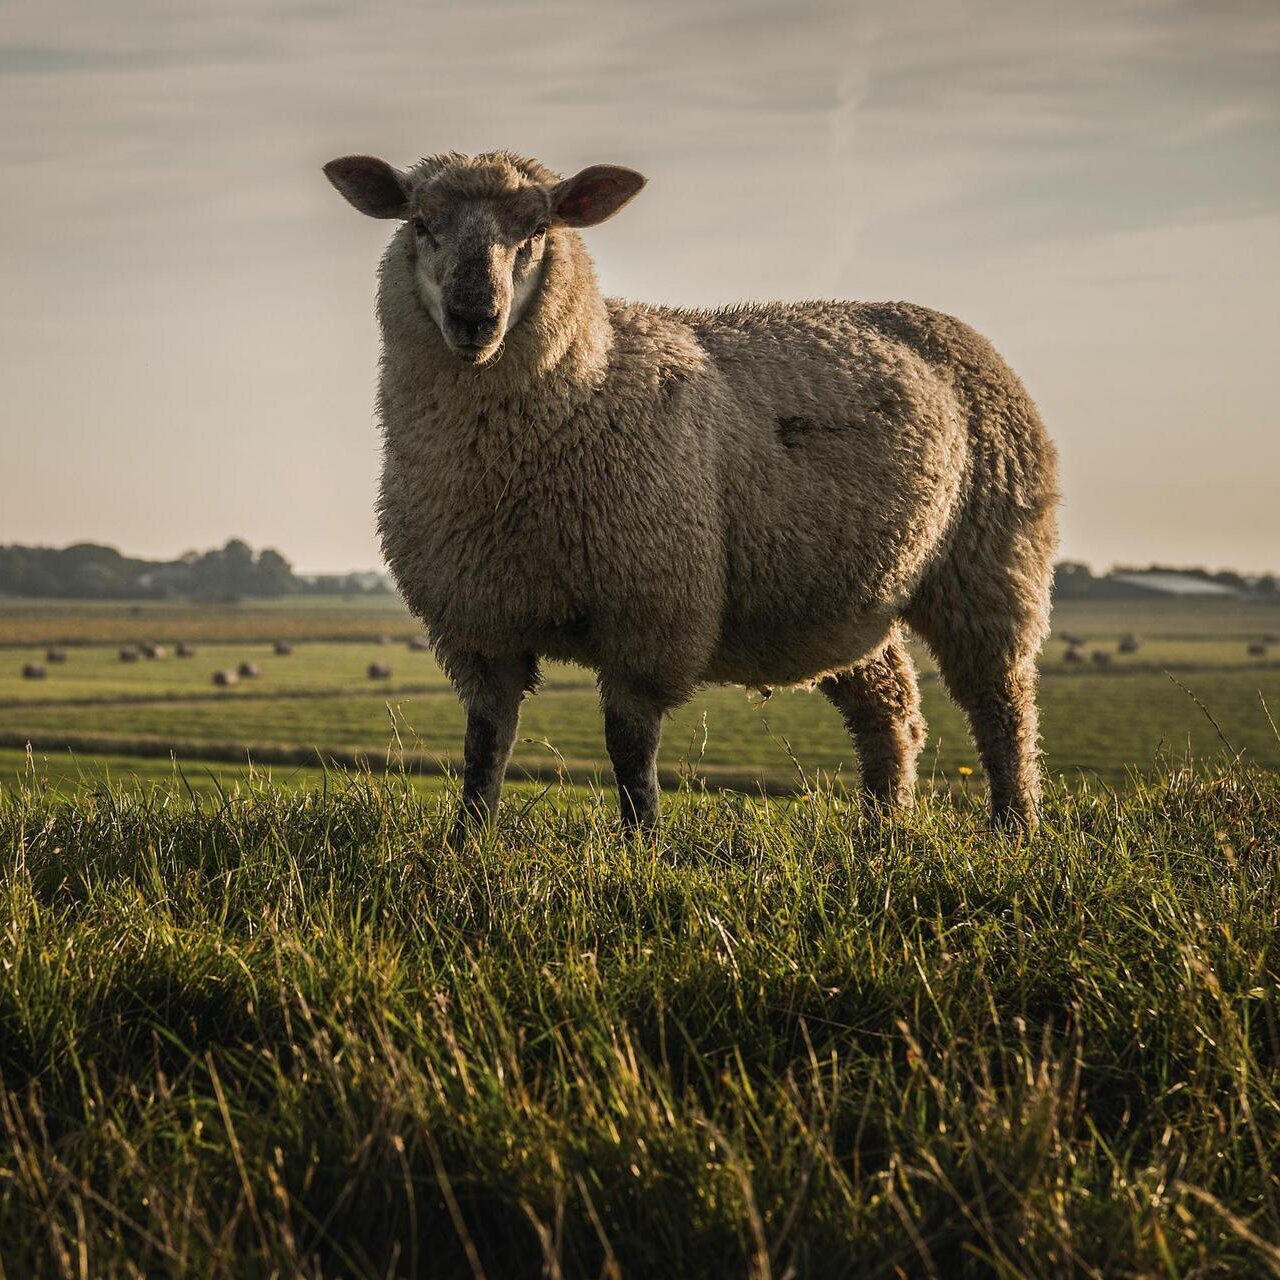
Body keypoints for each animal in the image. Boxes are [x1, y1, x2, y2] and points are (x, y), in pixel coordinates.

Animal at [325, 150, 1060, 835]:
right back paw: (881, 830)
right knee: (891, 710)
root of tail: (940, 322)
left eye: (538, 229)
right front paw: (467, 841)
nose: (475, 315)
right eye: (421, 224)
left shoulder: (649, 615)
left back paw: (1013, 828)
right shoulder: (478, 624)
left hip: (991, 563)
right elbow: (484, 746)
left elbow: (629, 748)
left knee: (1001, 707)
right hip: (845, 595)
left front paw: (641, 846)